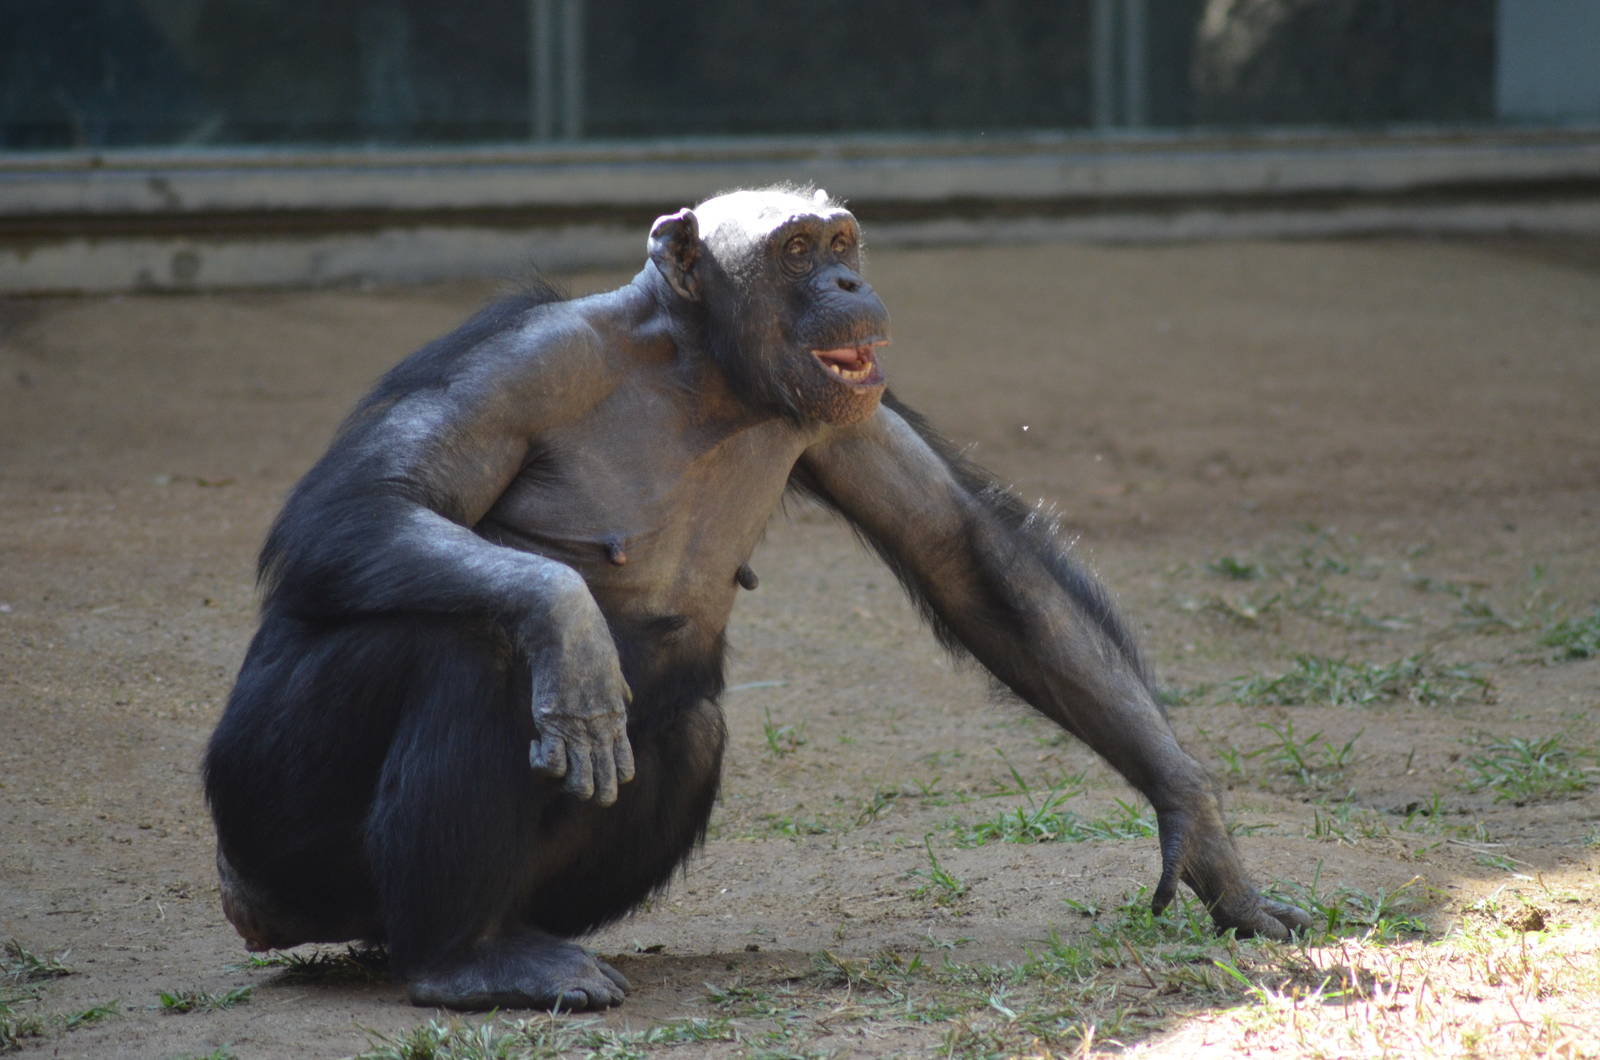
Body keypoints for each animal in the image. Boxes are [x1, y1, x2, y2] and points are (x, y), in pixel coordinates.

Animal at [203, 185, 1309, 1012]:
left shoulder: (850, 409)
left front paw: (1202, 832)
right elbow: (362, 506)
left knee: (687, 728)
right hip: (265, 816)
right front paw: (569, 628)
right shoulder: (514, 367)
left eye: (843, 240)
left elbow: (967, 552)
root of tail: (251, 902)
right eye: (797, 249)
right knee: (475, 649)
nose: (849, 280)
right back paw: (468, 957)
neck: (699, 369)